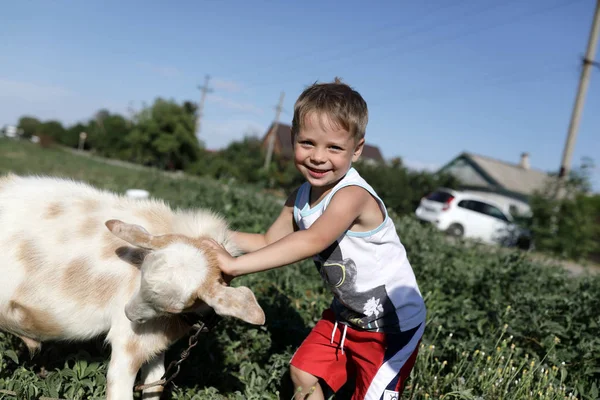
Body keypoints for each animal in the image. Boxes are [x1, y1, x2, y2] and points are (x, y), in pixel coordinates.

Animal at [0, 174, 264, 400]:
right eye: (142, 271)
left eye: (175, 307)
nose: (129, 313)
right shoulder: (128, 343)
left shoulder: (155, 339)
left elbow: (154, 385)